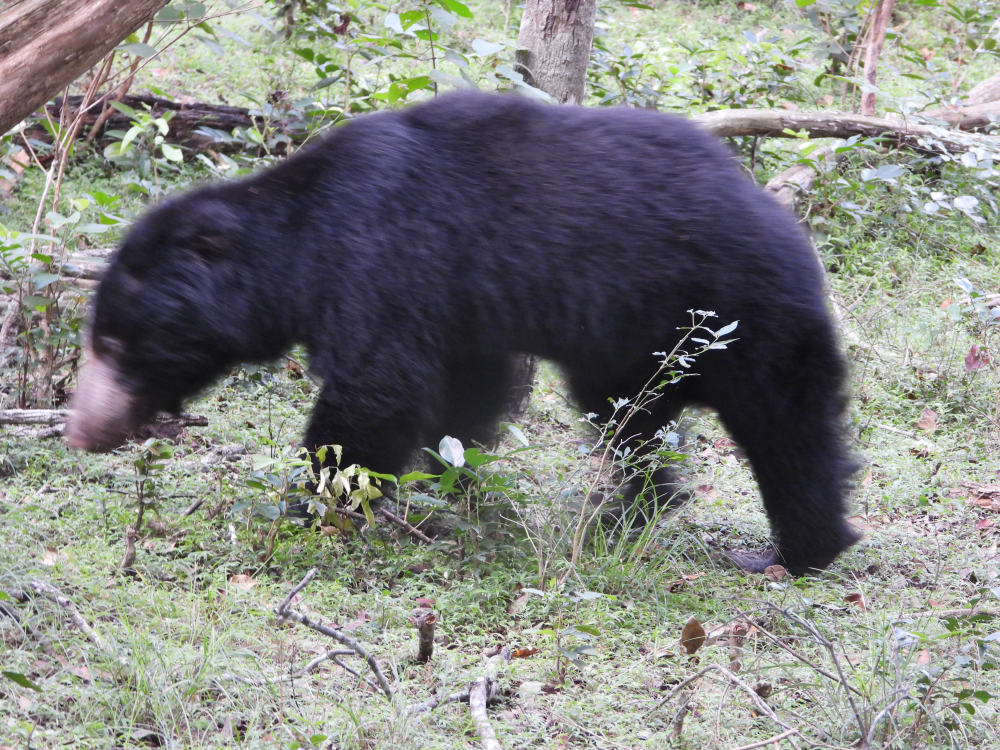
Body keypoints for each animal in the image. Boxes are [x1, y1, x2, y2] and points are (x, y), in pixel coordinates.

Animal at [65, 91, 859, 575]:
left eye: (116, 346)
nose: (82, 431)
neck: (297, 240)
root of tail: (787, 227)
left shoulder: (380, 257)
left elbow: (373, 395)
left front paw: (312, 505)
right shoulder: (461, 311)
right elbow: (464, 395)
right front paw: (451, 483)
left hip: (738, 316)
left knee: (789, 432)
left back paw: (797, 550)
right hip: (637, 348)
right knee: (635, 424)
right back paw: (628, 515)